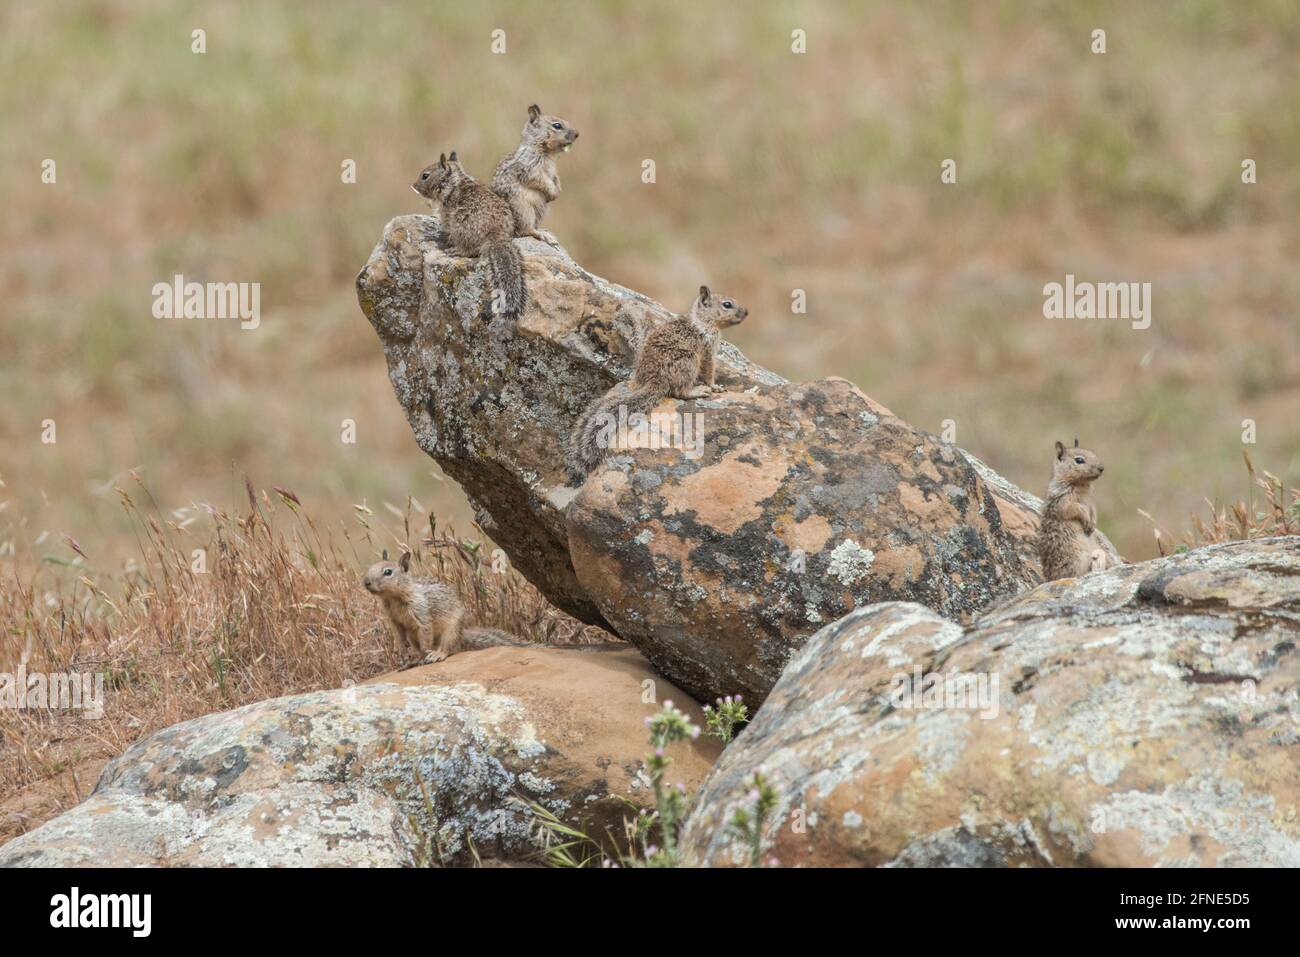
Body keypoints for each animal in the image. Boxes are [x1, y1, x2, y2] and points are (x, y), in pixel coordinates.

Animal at [362, 550, 526, 664]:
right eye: (370, 567)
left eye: (388, 572)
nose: (366, 582)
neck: (393, 599)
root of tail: (461, 634)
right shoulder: (395, 622)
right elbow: (400, 639)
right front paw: (403, 657)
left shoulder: (422, 615)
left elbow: (426, 636)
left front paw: (425, 655)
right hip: (413, 636)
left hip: (450, 631)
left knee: (447, 648)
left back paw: (436, 655)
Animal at [412, 152, 527, 319]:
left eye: (425, 175)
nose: (413, 186)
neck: (454, 182)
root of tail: (496, 236)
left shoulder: (446, 214)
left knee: (469, 251)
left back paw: (454, 250)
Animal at [491, 104, 578, 246]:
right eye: (557, 125)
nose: (577, 134)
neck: (547, 153)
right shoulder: (530, 169)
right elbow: (542, 181)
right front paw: (553, 193)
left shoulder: (553, 172)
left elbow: (556, 179)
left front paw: (557, 191)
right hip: (524, 209)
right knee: (526, 230)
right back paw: (544, 235)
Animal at [565, 285, 748, 485]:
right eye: (727, 304)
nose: (747, 312)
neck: (703, 320)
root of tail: (654, 382)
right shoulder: (707, 350)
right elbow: (708, 371)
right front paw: (715, 386)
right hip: (689, 361)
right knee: (680, 391)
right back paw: (698, 391)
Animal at [1037, 439, 1118, 581]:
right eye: (1079, 460)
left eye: (1093, 453)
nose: (1101, 468)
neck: (1081, 486)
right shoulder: (1063, 503)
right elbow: (1077, 509)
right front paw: (1086, 520)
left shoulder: (1091, 501)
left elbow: (1093, 511)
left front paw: (1092, 524)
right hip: (1077, 559)